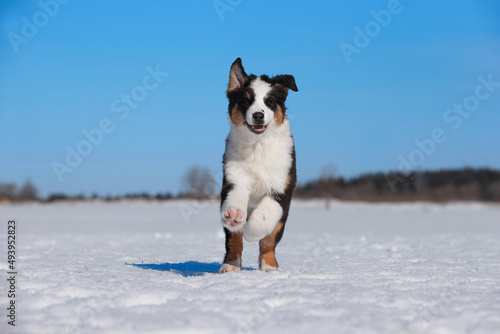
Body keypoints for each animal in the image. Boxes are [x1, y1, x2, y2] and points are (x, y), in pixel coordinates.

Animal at [219, 58, 296, 272]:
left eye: (269, 102)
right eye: (246, 101)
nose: (258, 116)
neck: (258, 145)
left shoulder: (282, 188)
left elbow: (263, 218)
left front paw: (251, 231)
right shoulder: (234, 177)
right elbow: (236, 198)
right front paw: (234, 214)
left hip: (282, 220)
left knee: (269, 241)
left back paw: (270, 268)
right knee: (233, 240)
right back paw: (230, 266)